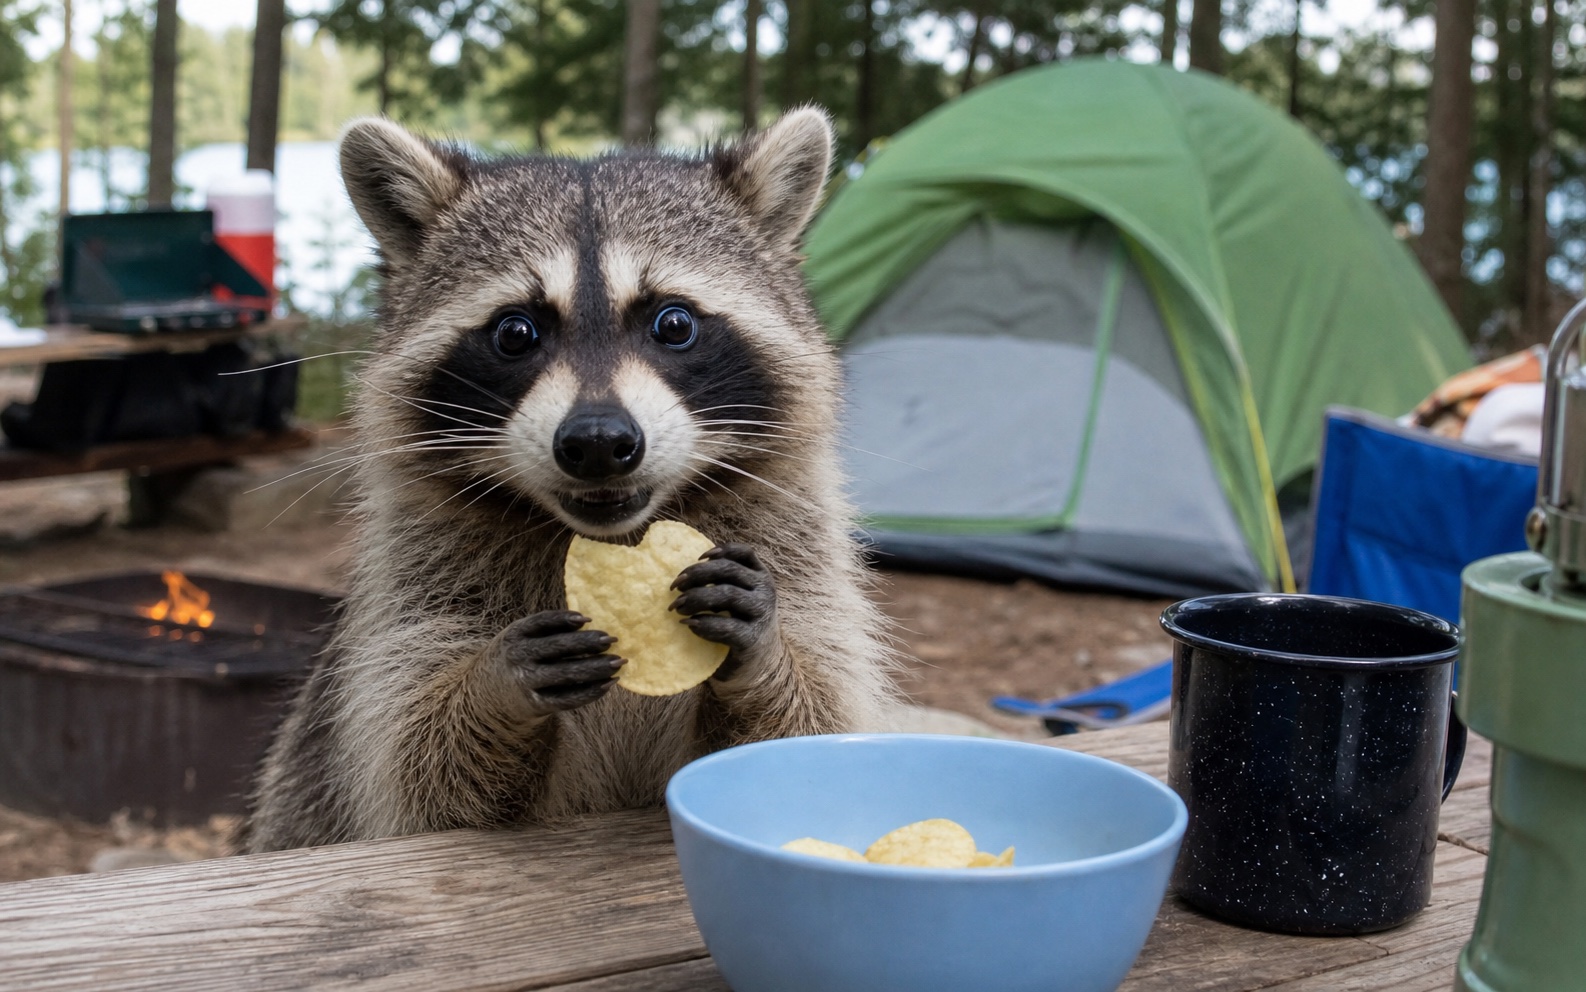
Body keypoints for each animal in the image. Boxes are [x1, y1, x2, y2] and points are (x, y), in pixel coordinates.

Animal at [242, 109, 898, 851]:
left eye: (674, 323)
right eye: (515, 332)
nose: (598, 443)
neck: (615, 534)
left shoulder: (799, 561)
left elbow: (809, 723)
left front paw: (766, 656)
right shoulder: (411, 597)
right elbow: (424, 777)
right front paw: (494, 688)